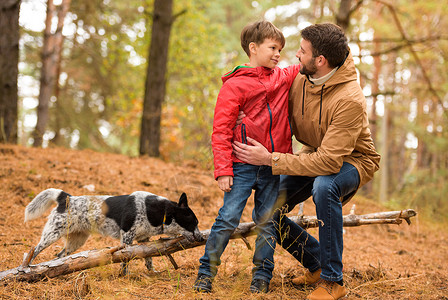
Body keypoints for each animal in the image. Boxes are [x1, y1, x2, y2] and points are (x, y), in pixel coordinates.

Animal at [22, 189, 201, 276]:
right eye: (194, 222)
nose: (200, 238)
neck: (160, 211)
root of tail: (67, 198)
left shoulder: (144, 239)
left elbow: (149, 260)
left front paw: (152, 273)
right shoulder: (127, 237)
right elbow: (125, 260)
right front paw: (124, 275)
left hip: (76, 241)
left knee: (60, 257)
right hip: (51, 235)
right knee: (35, 250)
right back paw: (28, 268)